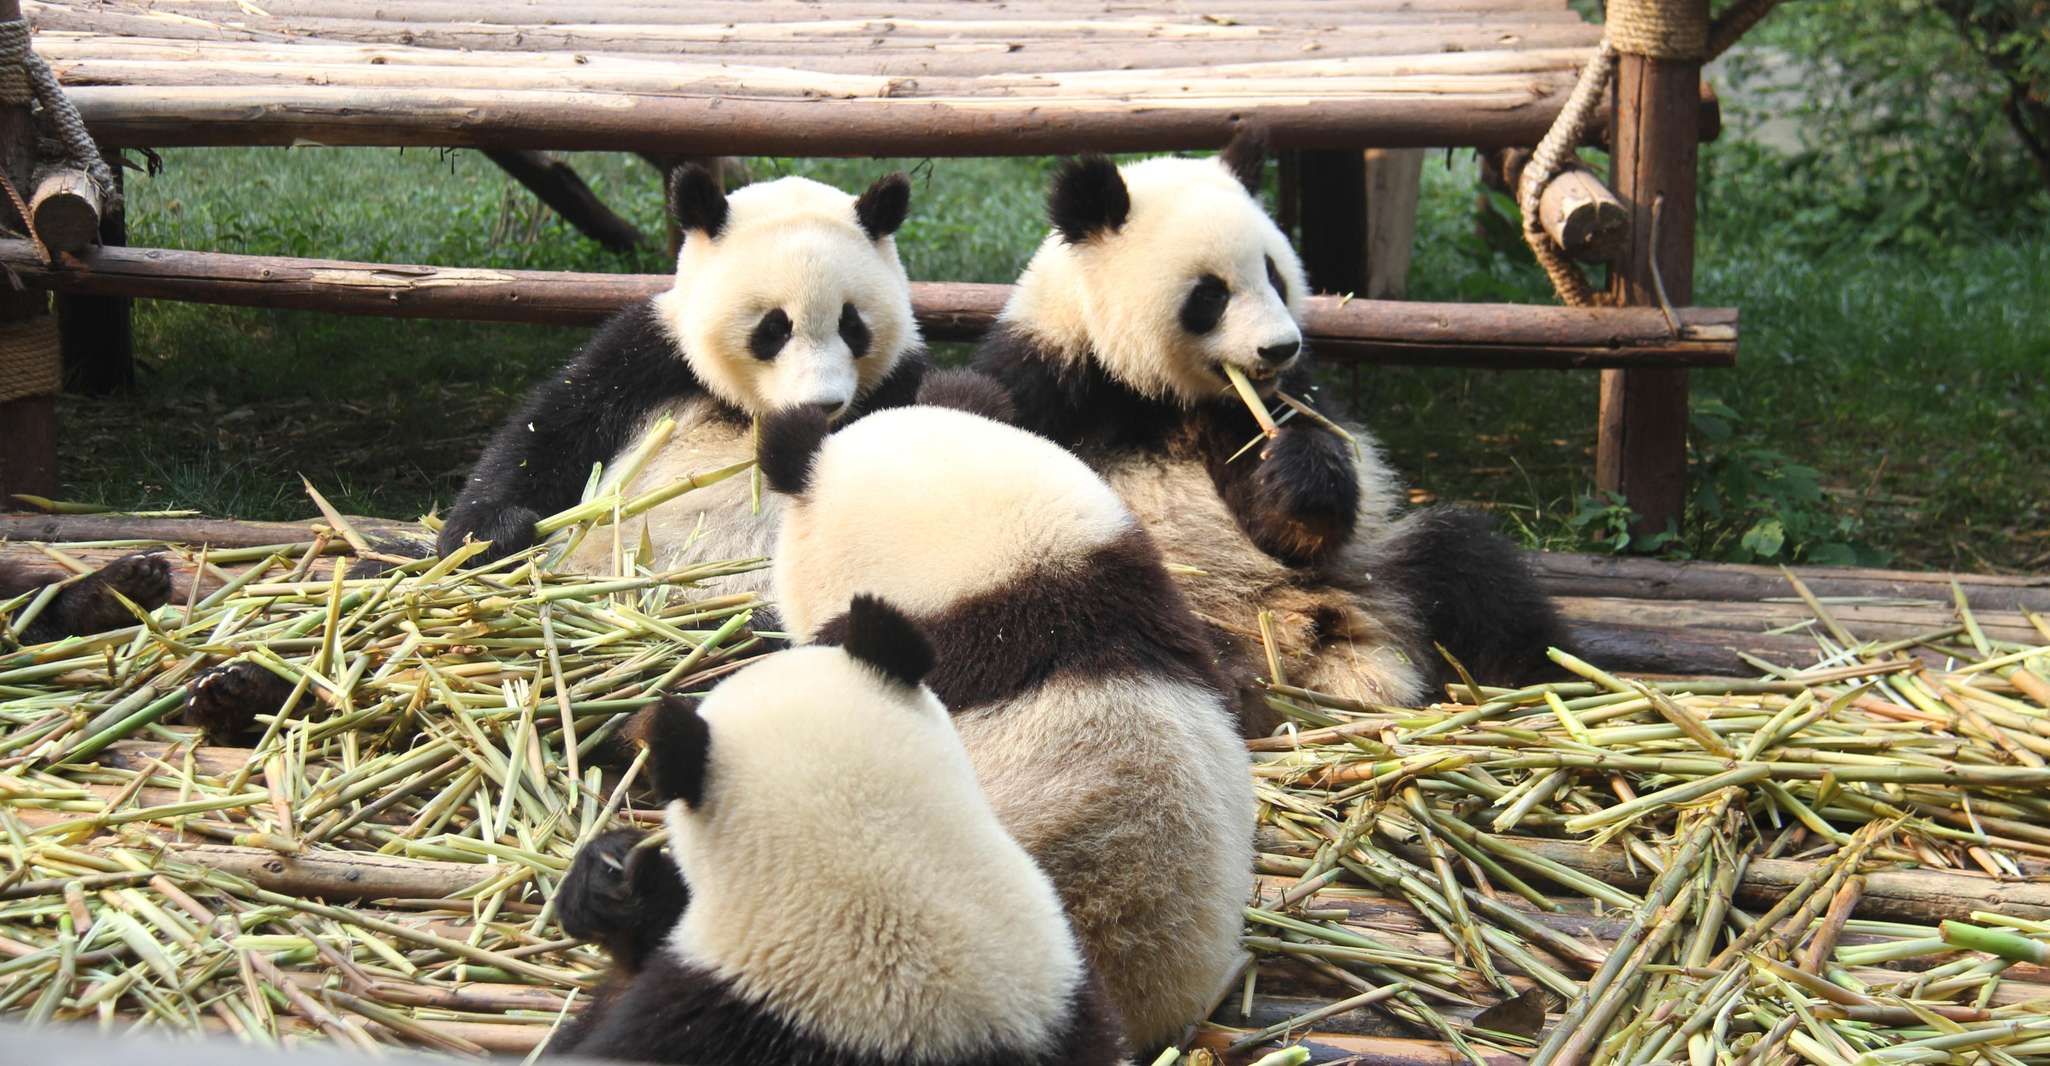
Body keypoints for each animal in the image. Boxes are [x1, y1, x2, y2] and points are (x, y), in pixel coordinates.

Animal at [436, 163, 930, 589]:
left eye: (852, 326)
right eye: (773, 328)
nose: (821, 404)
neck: (748, 411)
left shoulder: (901, 379)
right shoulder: (650, 355)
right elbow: (550, 433)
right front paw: (488, 535)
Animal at [968, 131, 1563, 727]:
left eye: (1274, 274)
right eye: (1211, 294)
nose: (1280, 347)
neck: (1148, 391)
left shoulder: (1260, 404)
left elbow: (1290, 521)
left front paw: (1298, 475)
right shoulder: (1045, 378)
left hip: (1373, 570)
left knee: (1469, 566)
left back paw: (1530, 683)